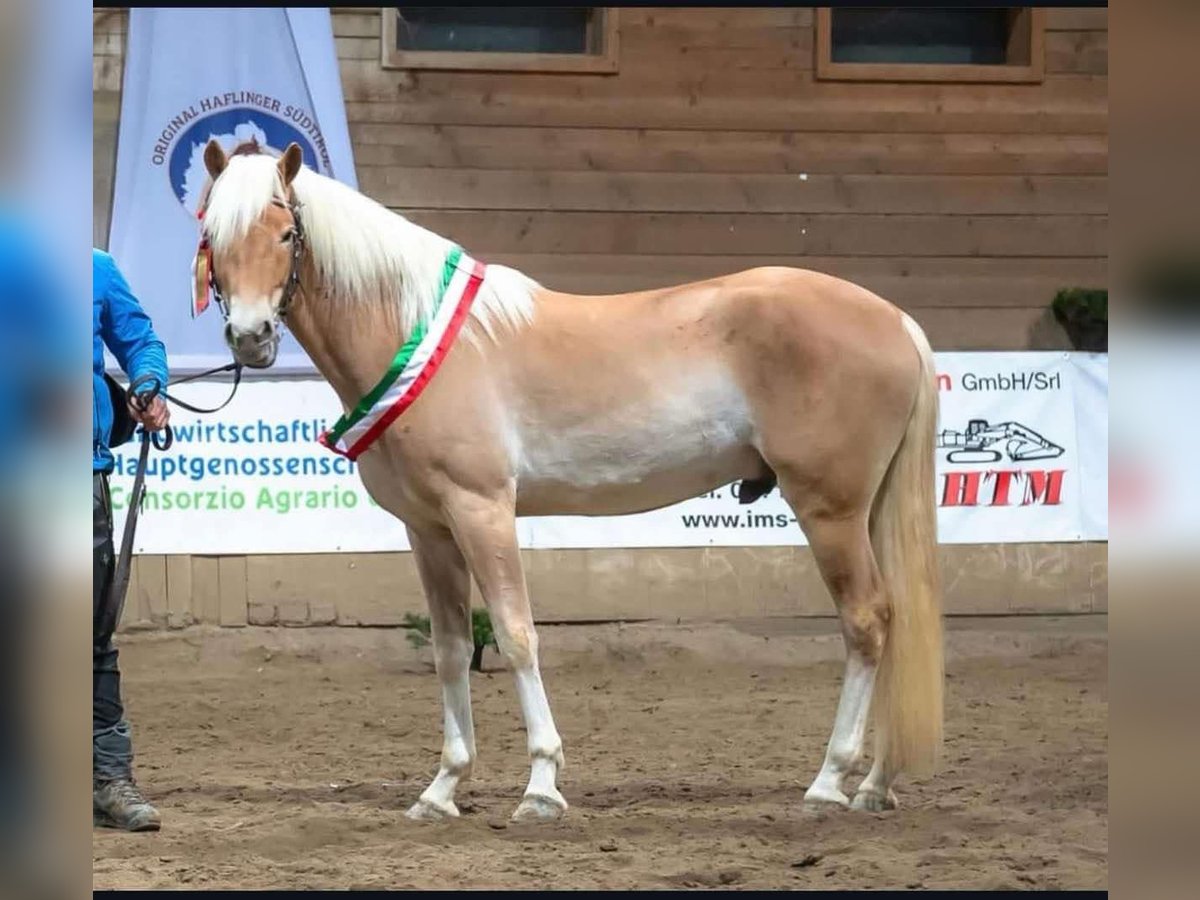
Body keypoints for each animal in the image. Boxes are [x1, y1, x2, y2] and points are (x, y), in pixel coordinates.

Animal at [199, 139, 945, 825]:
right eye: (213, 236)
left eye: (286, 234)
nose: (249, 337)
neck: (416, 335)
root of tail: (895, 321)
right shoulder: (429, 528)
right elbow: (450, 649)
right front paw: (442, 790)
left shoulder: (482, 511)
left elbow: (515, 634)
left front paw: (541, 787)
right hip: (862, 510)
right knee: (891, 621)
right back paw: (875, 784)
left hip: (830, 510)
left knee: (866, 621)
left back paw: (829, 782)